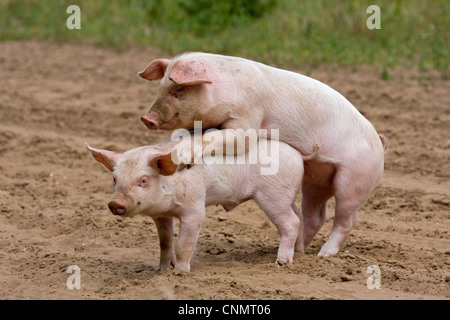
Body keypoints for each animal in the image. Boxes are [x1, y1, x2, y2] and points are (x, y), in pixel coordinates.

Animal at [85, 138, 302, 272]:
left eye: (144, 180)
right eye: (114, 179)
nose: (115, 203)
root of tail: (298, 156)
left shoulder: (195, 208)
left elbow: (183, 243)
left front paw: (180, 273)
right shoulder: (161, 215)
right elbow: (165, 242)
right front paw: (161, 270)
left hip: (274, 195)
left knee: (291, 222)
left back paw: (282, 262)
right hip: (286, 196)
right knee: (299, 217)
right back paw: (299, 252)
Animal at [138, 53, 386, 258]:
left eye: (179, 90)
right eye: (160, 87)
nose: (147, 118)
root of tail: (380, 142)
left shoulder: (247, 118)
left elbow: (233, 139)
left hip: (354, 180)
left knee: (347, 219)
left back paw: (323, 255)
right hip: (316, 179)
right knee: (315, 215)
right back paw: (302, 251)